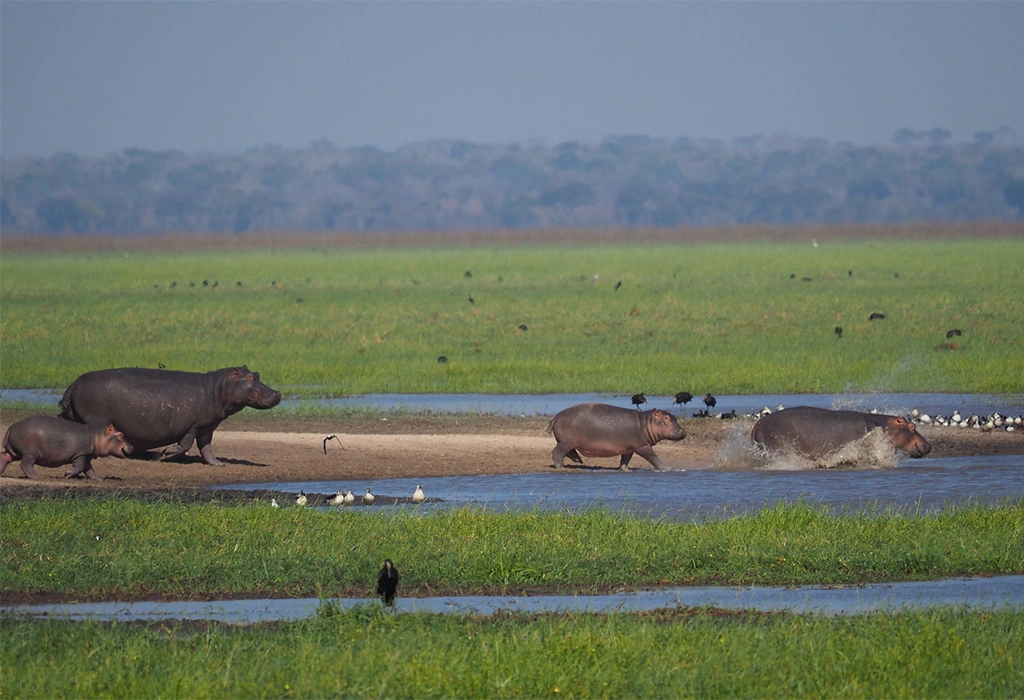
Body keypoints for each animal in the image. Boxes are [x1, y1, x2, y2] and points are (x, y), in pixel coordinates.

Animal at [2, 416, 133, 479]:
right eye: (120, 434)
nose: (132, 446)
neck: (97, 436)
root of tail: (11, 427)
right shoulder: (80, 455)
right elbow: (79, 468)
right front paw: (67, 474)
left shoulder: (87, 457)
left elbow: (89, 469)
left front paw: (97, 479)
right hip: (30, 454)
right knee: (25, 464)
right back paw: (36, 477)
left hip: (14, 452)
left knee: (5, 458)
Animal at [59, 366, 281, 466]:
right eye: (250, 377)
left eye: (258, 374)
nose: (277, 393)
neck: (216, 389)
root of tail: (73, 384)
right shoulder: (193, 426)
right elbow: (185, 445)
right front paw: (164, 455)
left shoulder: (207, 428)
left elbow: (207, 448)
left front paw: (219, 464)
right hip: (96, 420)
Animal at [548, 403, 686, 471]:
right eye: (666, 418)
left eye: (675, 417)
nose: (683, 431)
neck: (646, 423)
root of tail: (555, 417)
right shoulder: (642, 446)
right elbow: (653, 457)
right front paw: (667, 468)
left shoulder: (629, 447)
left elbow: (625, 459)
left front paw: (625, 470)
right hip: (565, 442)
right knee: (557, 452)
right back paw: (560, 467)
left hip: (568, 442)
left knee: (568, 452)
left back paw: (578, 461)